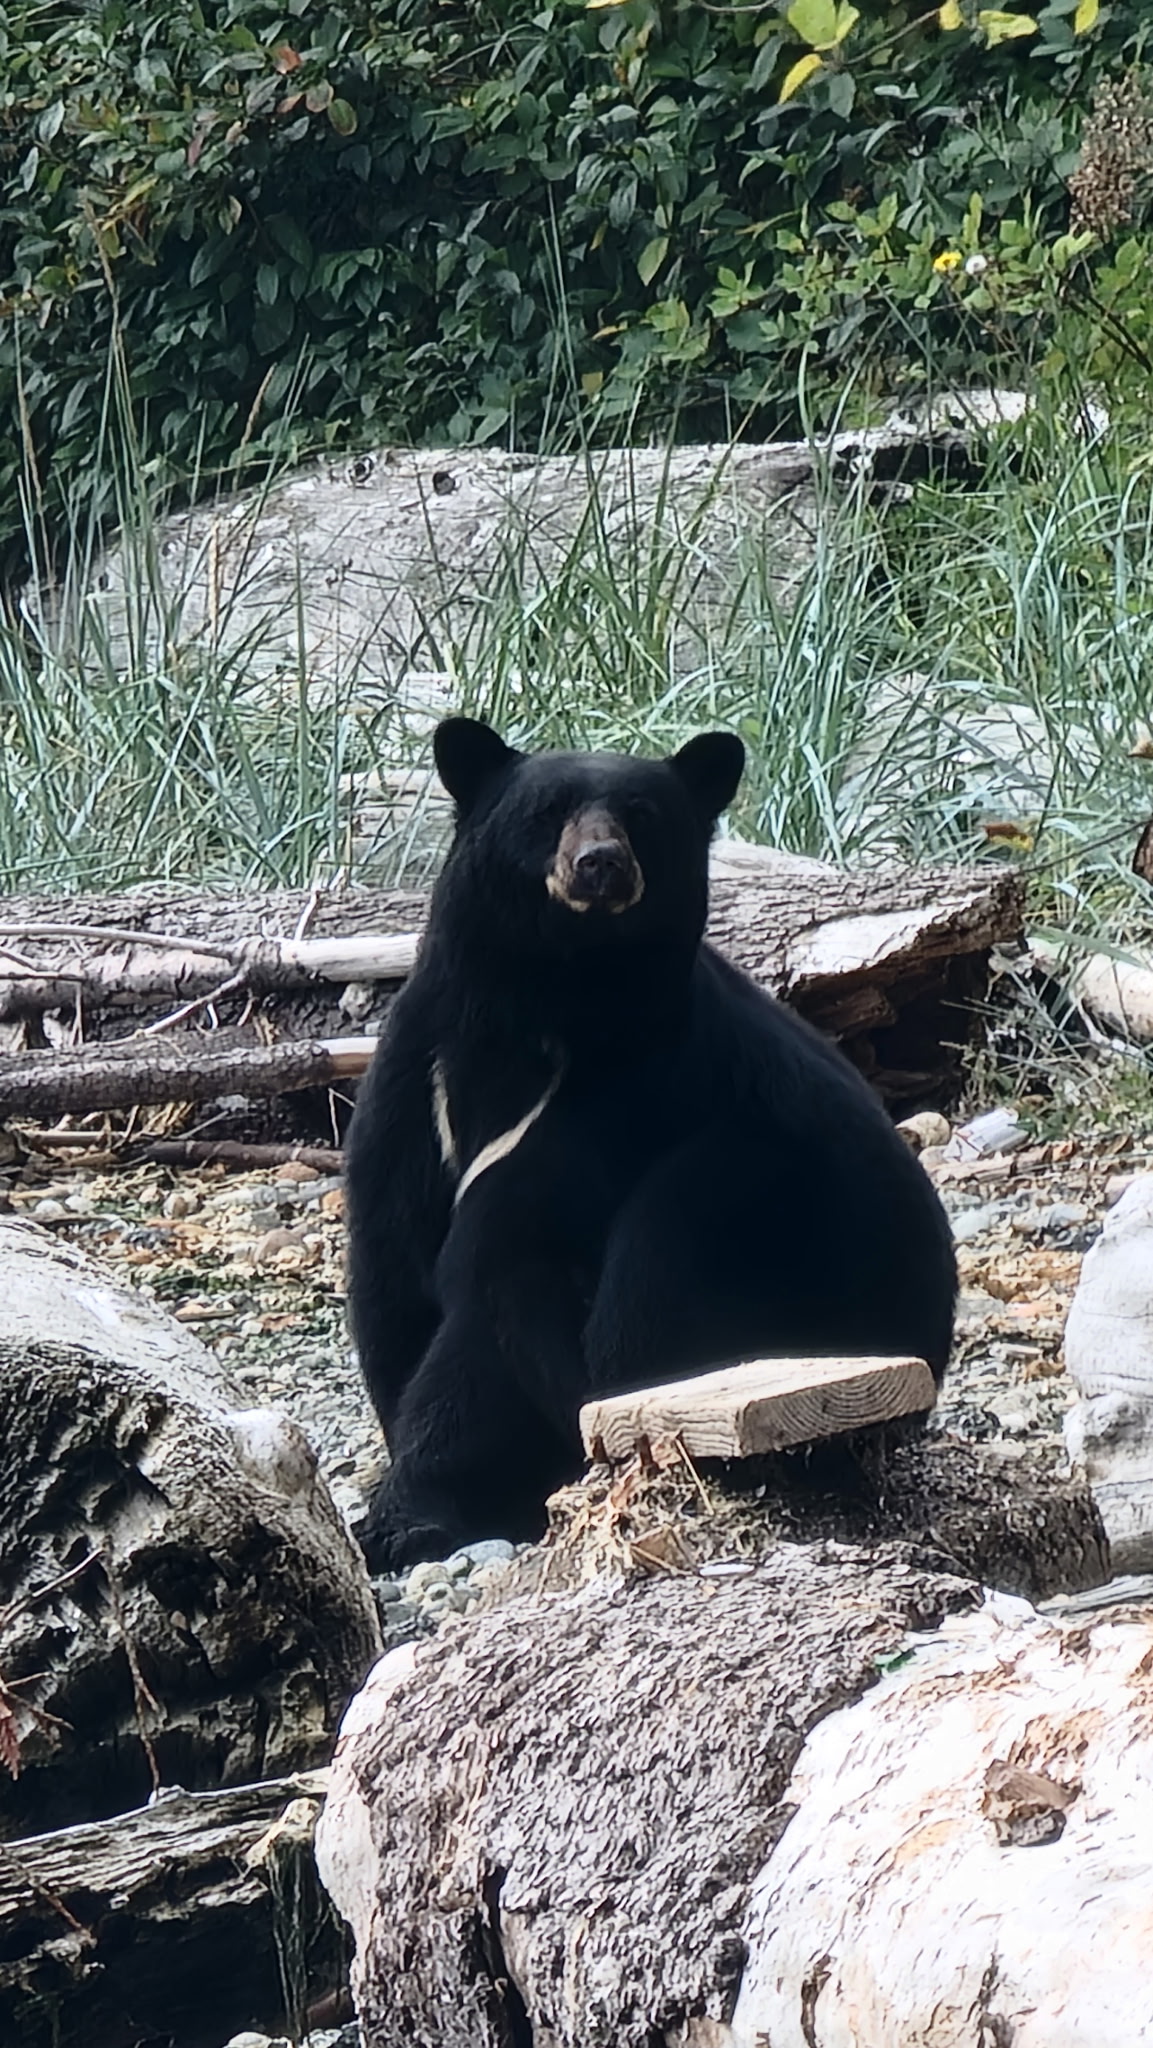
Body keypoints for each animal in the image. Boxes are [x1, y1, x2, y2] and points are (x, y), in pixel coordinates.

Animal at [345, 716, 957, 1572]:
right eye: (546, 811)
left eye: (641, 815)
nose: (599, 863)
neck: (550, 999)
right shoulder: (411, 1088)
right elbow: (393, 1267)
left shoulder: (622, 1101)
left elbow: (490, 1288)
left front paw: (412, 1512)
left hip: (752, 1208)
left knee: (653, 1276)